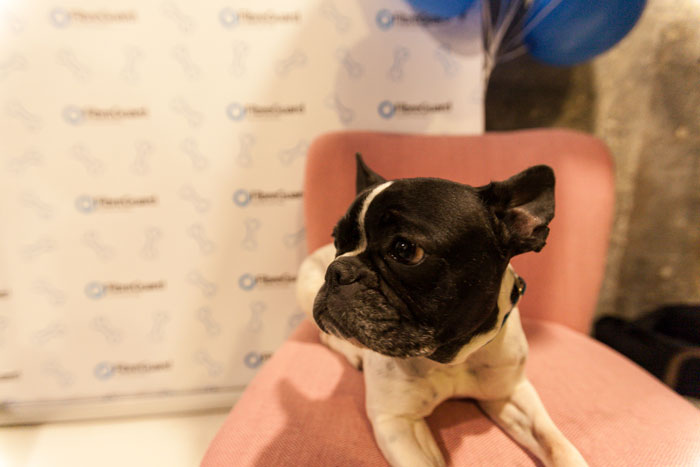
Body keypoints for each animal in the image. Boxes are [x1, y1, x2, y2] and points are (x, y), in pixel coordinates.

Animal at [296, 154, 587, 467]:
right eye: (337, 241)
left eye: (405, 249)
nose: (337, 269)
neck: (452, 356)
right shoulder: (396, 421)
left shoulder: (510, 392)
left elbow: (557, 445)